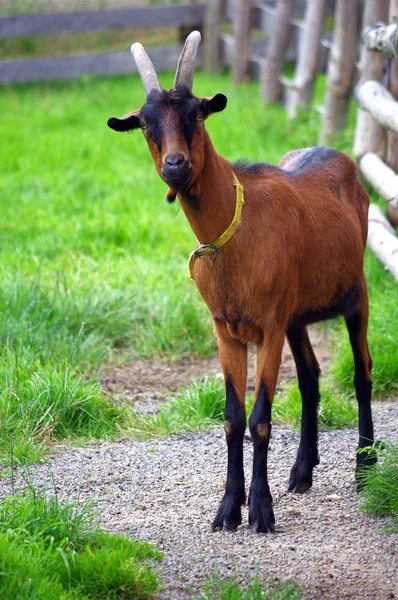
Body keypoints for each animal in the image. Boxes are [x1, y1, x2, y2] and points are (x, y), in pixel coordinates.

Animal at [107, 31, 374, 536]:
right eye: (146, 123)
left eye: (197, 113)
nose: (175, 165)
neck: (237, 227)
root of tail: (338, 155)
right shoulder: (226, 328)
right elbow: (232, 419)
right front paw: (229, 509)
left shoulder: (267, 325)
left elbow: (260, 419)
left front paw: (262, 511)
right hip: (297, 314)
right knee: (311, 376)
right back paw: (302, 471)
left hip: (356, 293)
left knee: (363, 371)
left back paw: (366, 467)